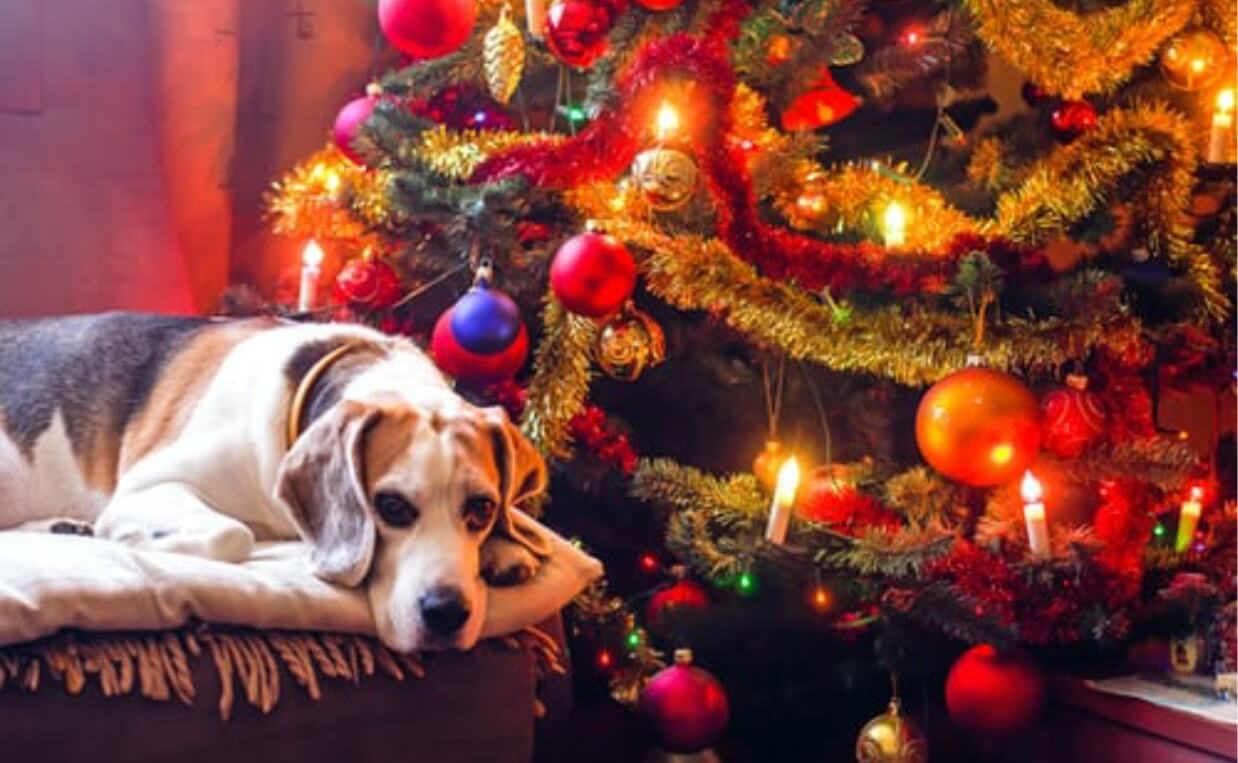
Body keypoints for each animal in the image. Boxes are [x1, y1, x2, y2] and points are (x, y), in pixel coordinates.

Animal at [0, 313, 552, 654]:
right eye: (391, 507)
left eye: (481, 508)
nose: (447, 613)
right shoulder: (147, 488)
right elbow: (232, 533)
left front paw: (504, 548)